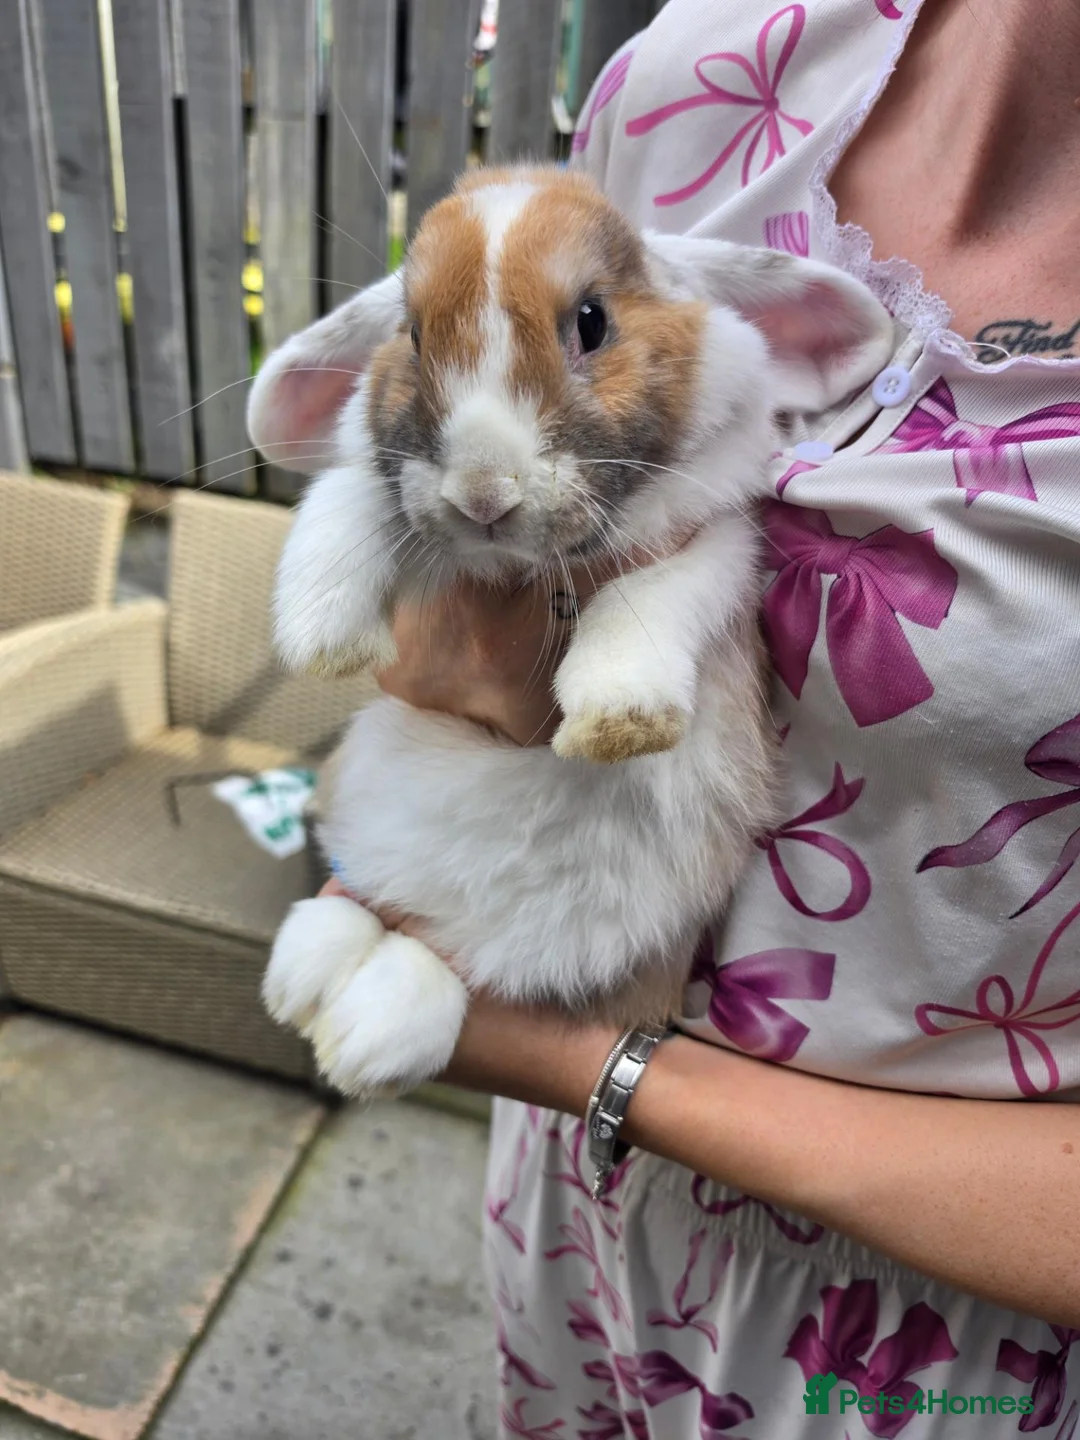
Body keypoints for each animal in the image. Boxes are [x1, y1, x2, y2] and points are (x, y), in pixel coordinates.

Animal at [246, 165, 893, 1098]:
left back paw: (369, 1027)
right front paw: (320, 635)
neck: (514, 566)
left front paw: (621, 719)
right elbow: (346, 495)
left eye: (592, 319)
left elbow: (650, 598)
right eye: (412, 334)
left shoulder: (719, 548)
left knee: (452, 967)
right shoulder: (379, 493)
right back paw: (307, 973)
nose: (482, 492)